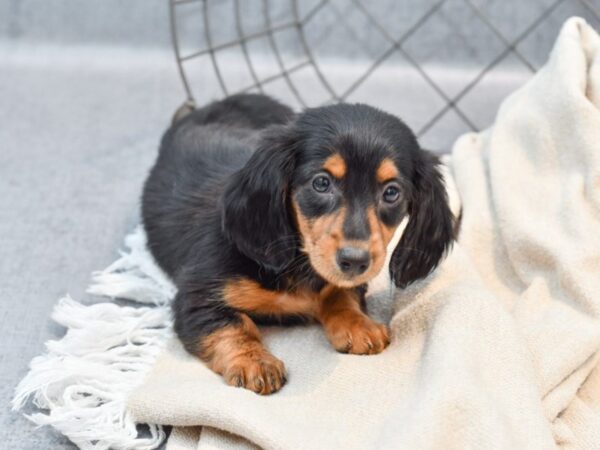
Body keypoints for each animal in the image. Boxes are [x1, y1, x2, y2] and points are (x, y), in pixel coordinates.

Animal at [141, 94, 452, 394]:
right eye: (321, 183)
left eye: (391, 192)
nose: (354, 261)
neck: (298, 261)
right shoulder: (196, 300)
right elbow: (234, 325)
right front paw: (254, 361)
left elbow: (340, 293)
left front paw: (358, 324)